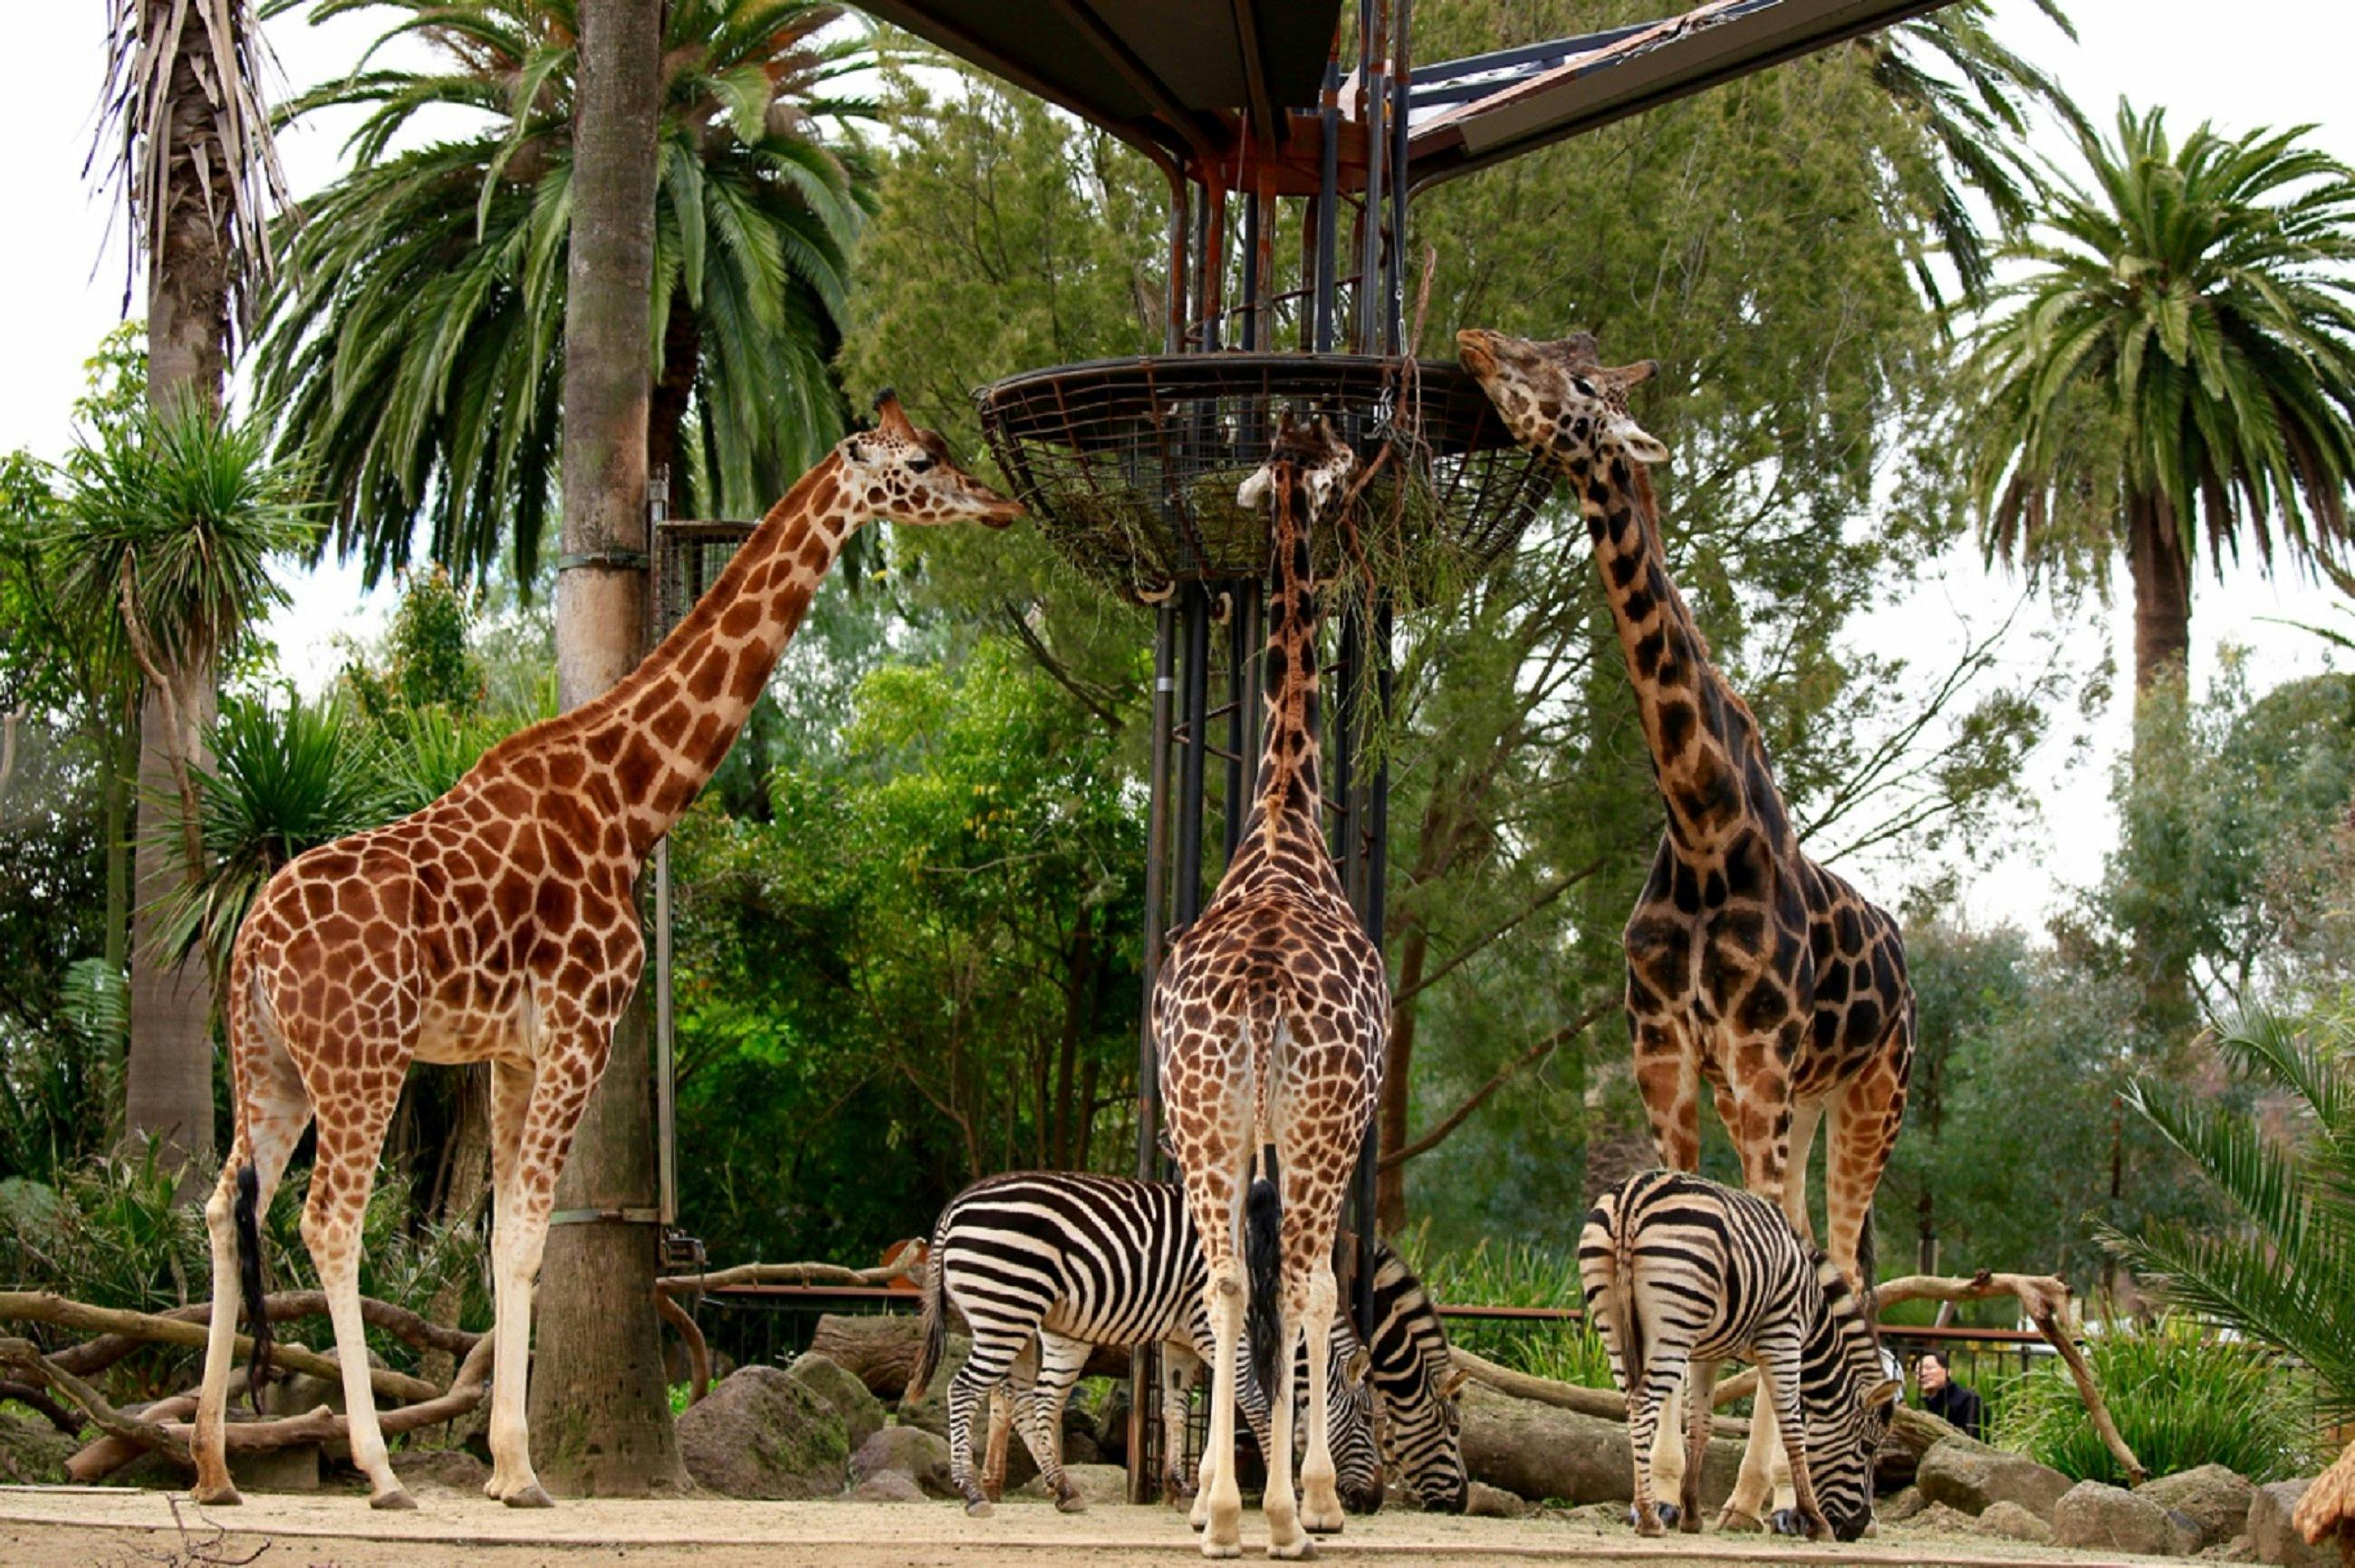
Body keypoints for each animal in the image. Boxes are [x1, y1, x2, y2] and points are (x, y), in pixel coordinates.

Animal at [188, 394, 1020, 1511]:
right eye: (924, 460)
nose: (1002, 504)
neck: (630, 802)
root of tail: (250, 948)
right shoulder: (583, 1024)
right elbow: (529, 1235)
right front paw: (519, 1470)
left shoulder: (509, 1051)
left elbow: (502, 1236)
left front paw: (506, 1466)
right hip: (362, 1060)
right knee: (328, 1221)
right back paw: (378, 1471)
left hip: (271, 1066)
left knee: (220, 1206)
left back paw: (211, 1467)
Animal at [1459, 327, 1914, 1534]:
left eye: (1578, 382)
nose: (1476, 343)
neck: (1705, 826)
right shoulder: (1663, 1060)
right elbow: (1692, 1255)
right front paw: (1669, 1486)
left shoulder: (1753, 1064)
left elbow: (1768, 1268)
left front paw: (1743, 1495)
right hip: (1804, 1103)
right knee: (1813, 1249)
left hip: (1867, 1099)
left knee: (1837, 1257)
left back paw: (1787, 1496)